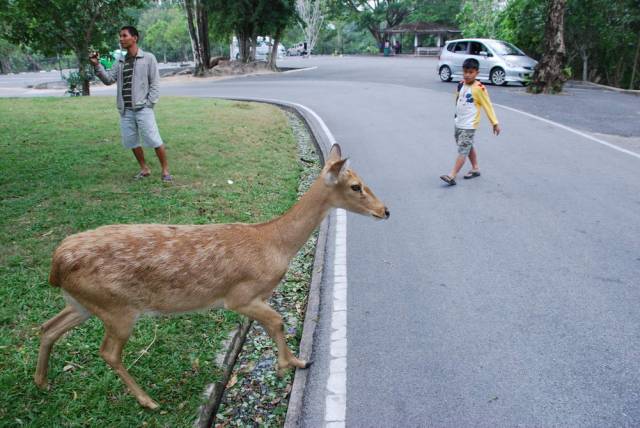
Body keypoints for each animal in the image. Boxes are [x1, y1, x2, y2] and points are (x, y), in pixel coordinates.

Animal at [35, 144, 390, 408]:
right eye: (356, 186)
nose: (385, 211)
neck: (273, 243)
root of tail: (56, 264)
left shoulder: (256, 297)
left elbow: (273, 323)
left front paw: (290, 362)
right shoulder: (239, 296)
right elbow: (276, 321)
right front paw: (292, 364)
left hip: (84, 302)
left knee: (49, 327)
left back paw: (42, 381)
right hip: (117, 307)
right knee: (108, 351)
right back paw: (148, 401)